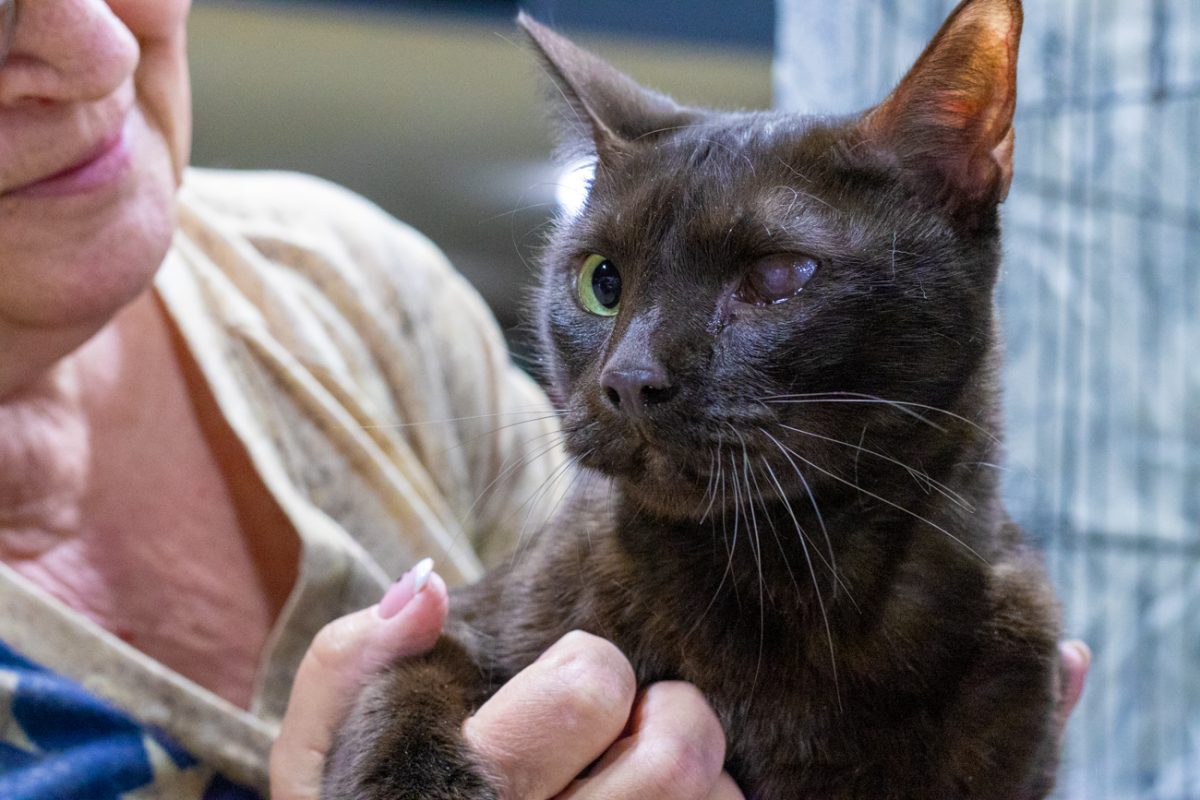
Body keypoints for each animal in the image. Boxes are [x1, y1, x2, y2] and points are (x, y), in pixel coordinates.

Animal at [319, 0, 1060, 796]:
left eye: (778, 276)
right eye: (601, 281)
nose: (629, 379)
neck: (789, 575)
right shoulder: (469, 616)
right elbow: (403, 681)